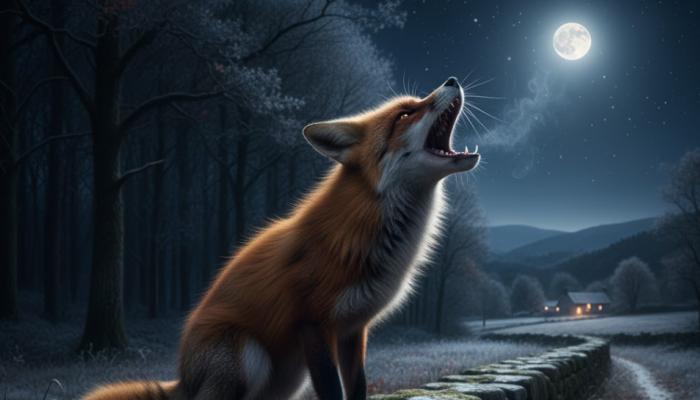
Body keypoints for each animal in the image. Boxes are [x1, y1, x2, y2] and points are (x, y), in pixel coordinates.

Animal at [82, 77, 480, 400]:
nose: (452, 79)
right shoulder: (315, 324)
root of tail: (182, 376)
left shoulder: (355, 329)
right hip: (248, 358)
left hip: (288, 379)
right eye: (404, 114)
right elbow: (333, 391)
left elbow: (358, 388)